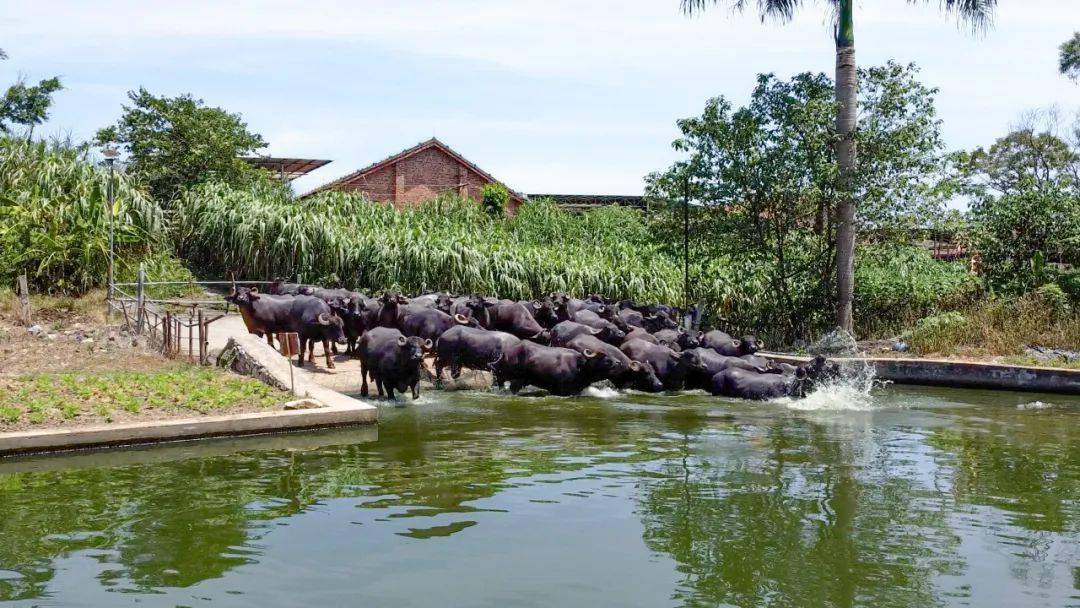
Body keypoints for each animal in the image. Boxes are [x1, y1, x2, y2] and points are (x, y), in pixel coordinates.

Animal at [494, 341, 622, 397]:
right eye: (607, 360)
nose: (619, 362)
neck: (580, 367)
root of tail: (505, 353)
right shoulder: (563, 390)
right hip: (516, 379)